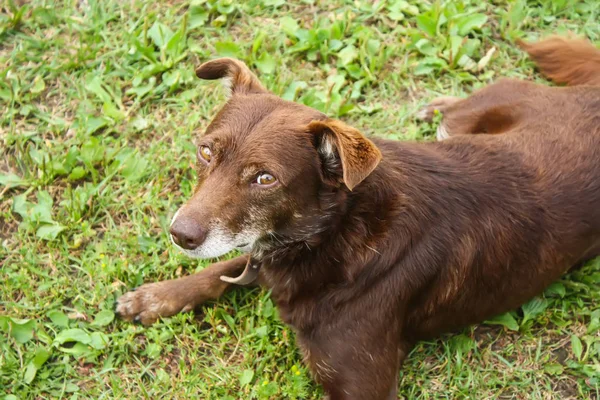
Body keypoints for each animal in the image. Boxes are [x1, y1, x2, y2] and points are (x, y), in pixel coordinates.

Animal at [116, 36, 600, 396]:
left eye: (265, 178)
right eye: (205, 151)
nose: (180, 234)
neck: (335, 233)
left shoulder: (364, 387)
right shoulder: (259, 249)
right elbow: (223, 267)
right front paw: (156, 297)